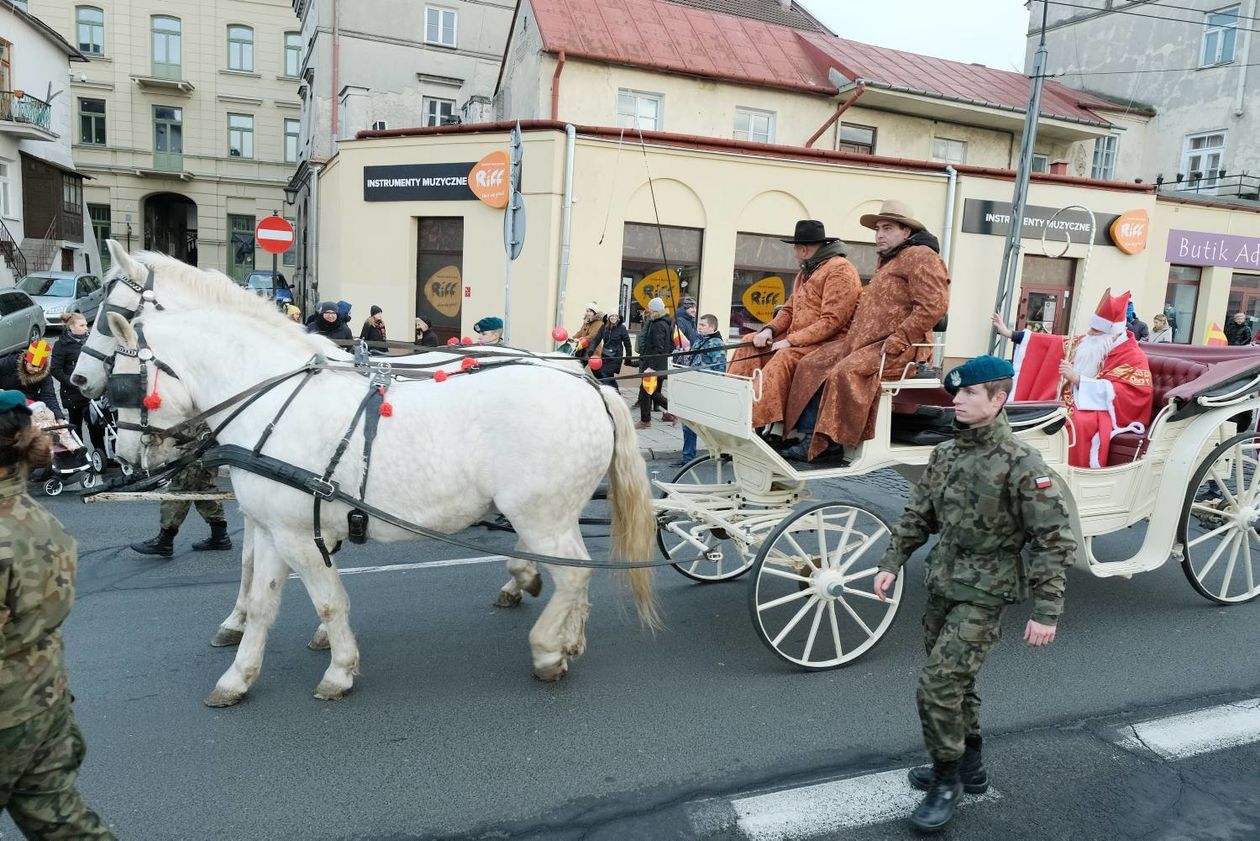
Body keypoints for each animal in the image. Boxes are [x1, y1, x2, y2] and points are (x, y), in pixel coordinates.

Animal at [95, 271, 660, 711]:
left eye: (122, 380)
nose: (123, 453)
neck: (273, 400)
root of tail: (591, 387)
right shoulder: (278, 530)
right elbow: (261, 603)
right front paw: (239, 675)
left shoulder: (299, 537)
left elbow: (329, 602)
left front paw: (340, 669)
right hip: (551, 516)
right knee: (572, 572)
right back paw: (566, 633)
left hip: (541, 514)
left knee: (573, 576)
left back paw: (546, 649)